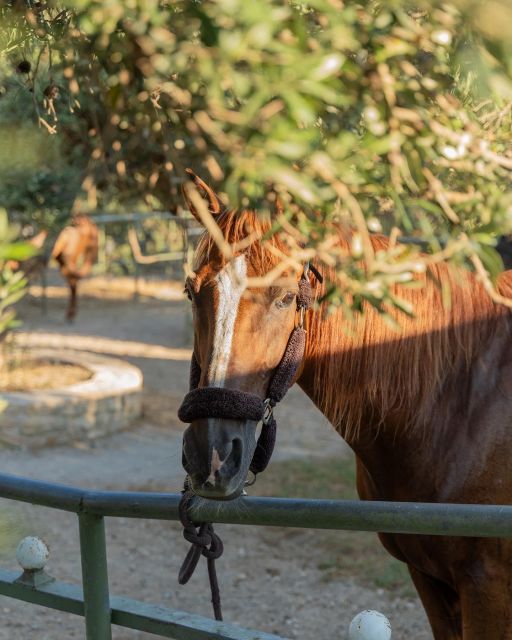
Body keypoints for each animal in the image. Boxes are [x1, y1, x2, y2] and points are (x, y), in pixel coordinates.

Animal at [181, 171, 512, 640]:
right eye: (191, 292)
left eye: (286, 298)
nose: (212, 454)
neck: (464, 403)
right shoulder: (428, 579)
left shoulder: (488, 587)